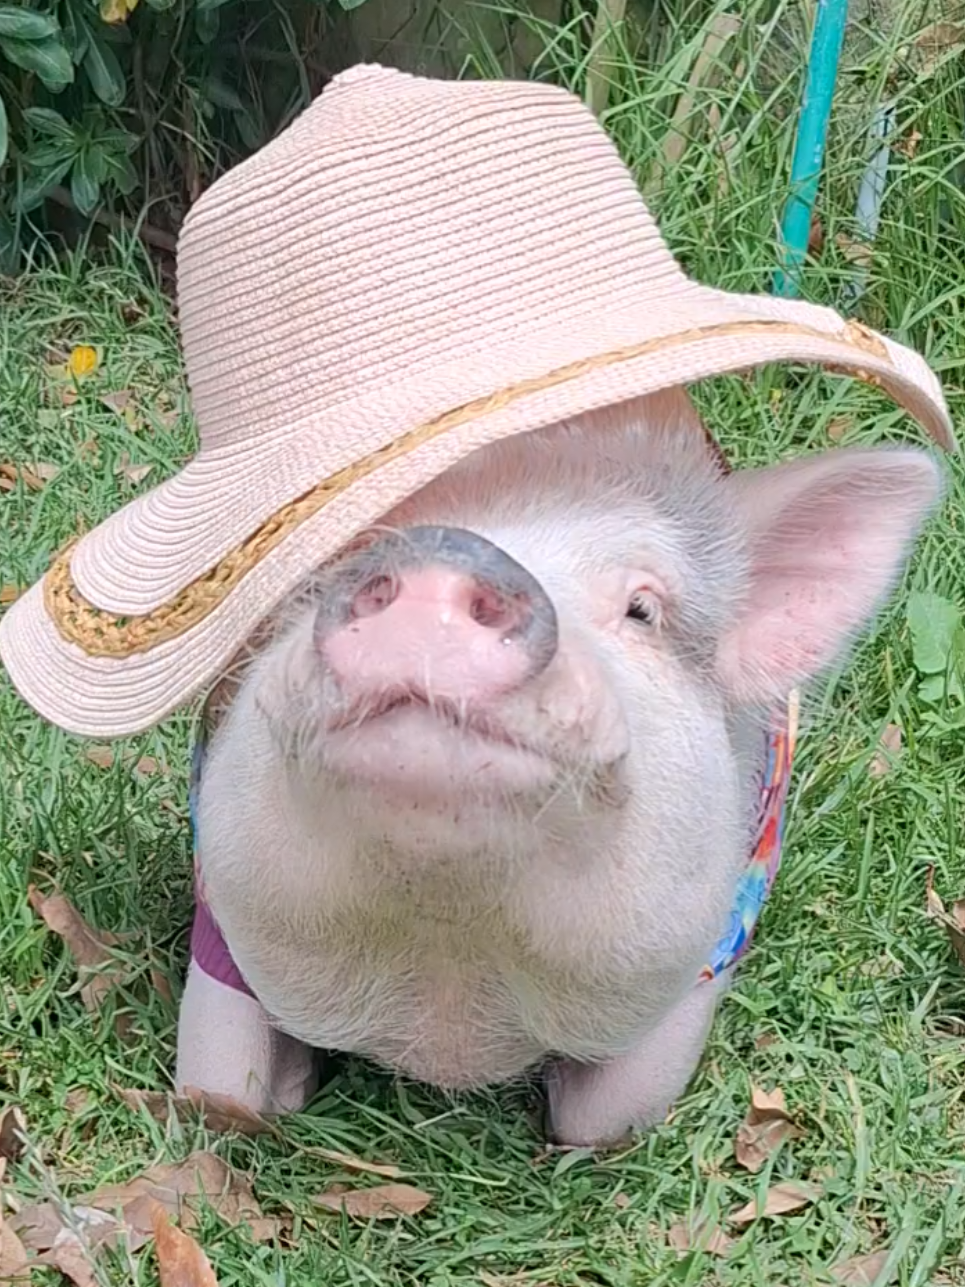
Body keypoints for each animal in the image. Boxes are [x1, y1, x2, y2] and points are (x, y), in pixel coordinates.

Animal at [175, 390, 942, 1146]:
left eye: (642, 608)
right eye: (323, 568)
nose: (447, 555)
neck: (448, 964)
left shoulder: (704, 943)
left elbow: (612, 1113)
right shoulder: (223, 891)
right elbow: (216, 1083)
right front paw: (265, 1100)